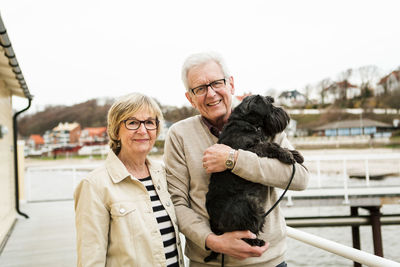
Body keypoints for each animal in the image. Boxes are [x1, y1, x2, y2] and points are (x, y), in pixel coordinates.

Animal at [206, 94, 304, 264]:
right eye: (270, 106)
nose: (285, 113)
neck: (246, 122)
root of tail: (216, 226)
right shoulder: (249, 149)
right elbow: (270, 145)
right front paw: (287, 155)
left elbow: (272, 143)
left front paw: (295, 154)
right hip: (250, 205)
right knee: (245, 234)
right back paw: (256, 242)